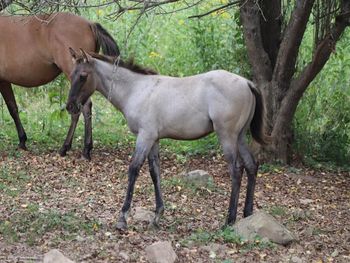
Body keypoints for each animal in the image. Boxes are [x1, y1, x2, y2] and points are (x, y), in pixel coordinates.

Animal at [0, 11, 119, 159]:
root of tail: (89, 24)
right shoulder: (4, 81)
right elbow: (13, 109)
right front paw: (22, 140)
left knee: (81, 108)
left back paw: (72, 148)